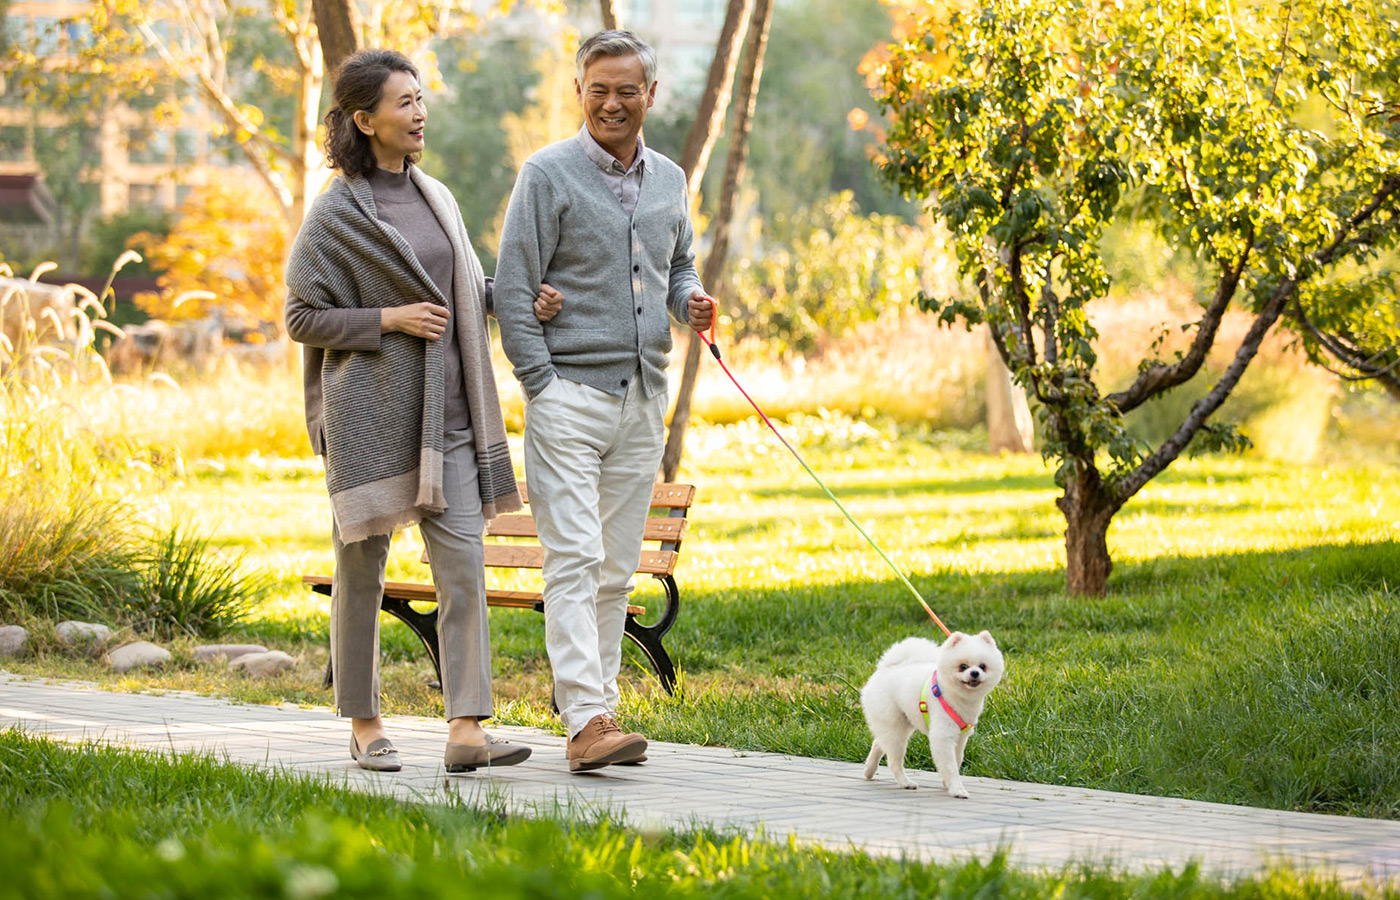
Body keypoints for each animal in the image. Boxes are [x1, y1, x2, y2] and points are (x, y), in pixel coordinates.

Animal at [856, 629, 1002, 800]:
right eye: (962, 666)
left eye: (983, 666)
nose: (974, 673)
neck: (956, 697)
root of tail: (886, 668)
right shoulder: (943, 736)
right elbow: (950, 766)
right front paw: (957, 789)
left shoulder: (961, 737)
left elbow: (957, 760)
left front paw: (948, 783)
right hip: (895, 726)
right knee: (893, 760)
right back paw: (905, 782)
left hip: (900, 724)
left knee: (879, 742)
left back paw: (869, 771)